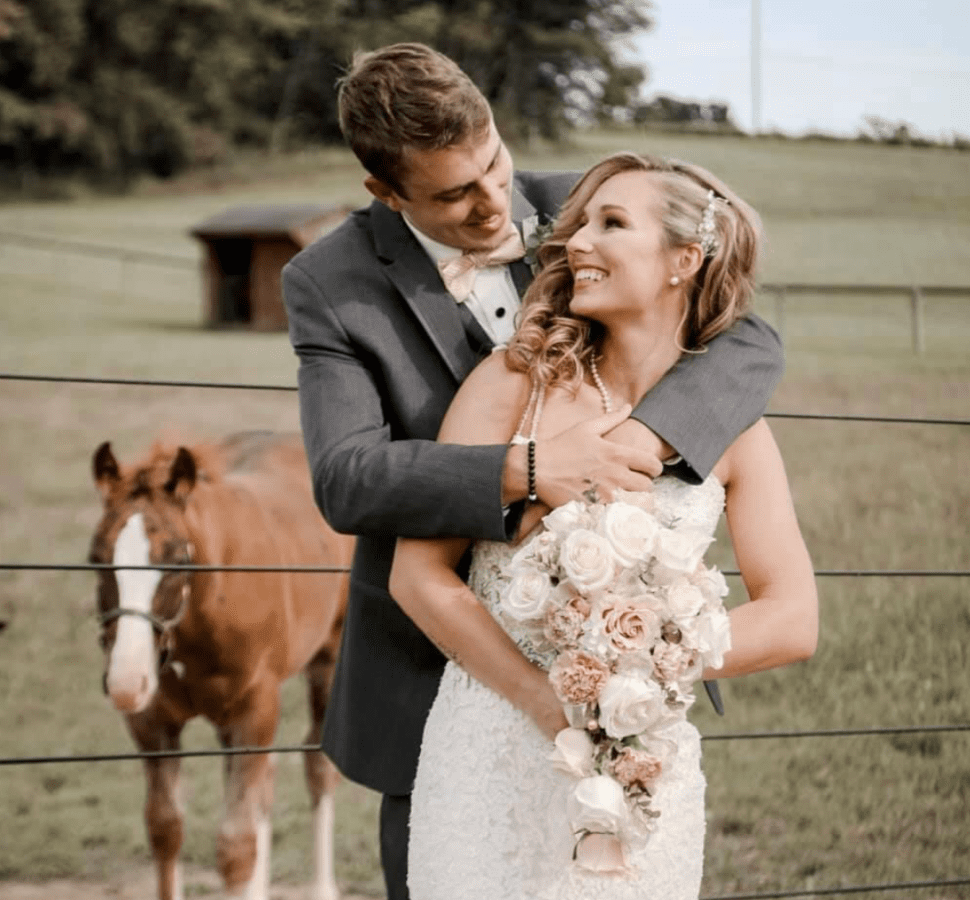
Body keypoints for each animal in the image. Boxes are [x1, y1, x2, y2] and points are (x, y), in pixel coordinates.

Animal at [89, 432, 354, 900]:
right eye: (95, 558)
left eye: (177, 561)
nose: (126, 683)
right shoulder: (153, 723)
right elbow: (165, 829)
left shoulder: (254, 710)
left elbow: (235, 848)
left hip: (328, 660)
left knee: (318, 767)